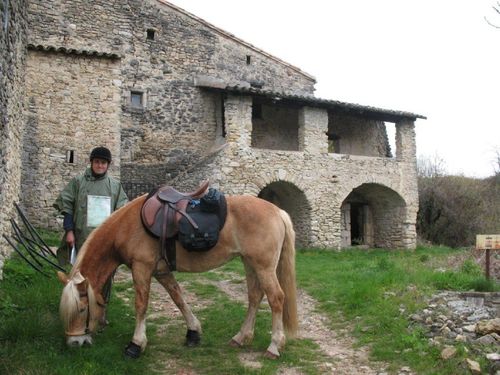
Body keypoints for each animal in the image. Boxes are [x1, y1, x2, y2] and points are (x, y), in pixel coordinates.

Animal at [55, 192, 296, 360]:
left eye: (82, 308)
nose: (74, 344)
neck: (127, 227)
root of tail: (278, 211)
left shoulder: (142, 268)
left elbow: (141, 305)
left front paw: (136, 345)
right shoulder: (161, 271)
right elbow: (178, 297)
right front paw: (193, 332)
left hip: (263, 267)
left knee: (276, 299)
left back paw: (274, 346)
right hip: (250, 264)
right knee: (255, 297)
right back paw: (241, 337)